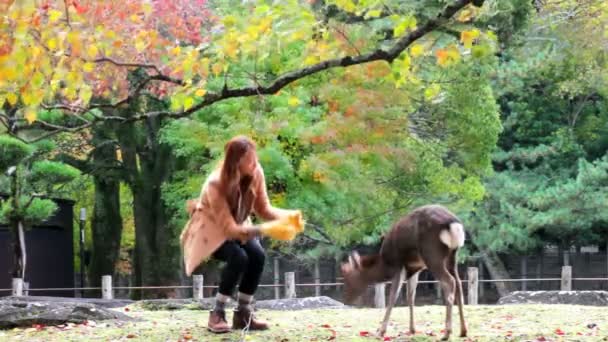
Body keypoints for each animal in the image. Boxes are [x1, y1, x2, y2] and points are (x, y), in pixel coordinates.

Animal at [340, 204, 468, 340]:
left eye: (348, 277)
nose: (345, 299)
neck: (385, 264)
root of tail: (453, 224)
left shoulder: (398, 265)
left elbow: (393, 296)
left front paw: (381, 331)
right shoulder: (414, 268)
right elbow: (410, 296)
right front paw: (412, 329)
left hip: (432, 255)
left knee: (449, 282)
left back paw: (447, 333)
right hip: (452, 257)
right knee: (459, 283)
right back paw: (463, 331)